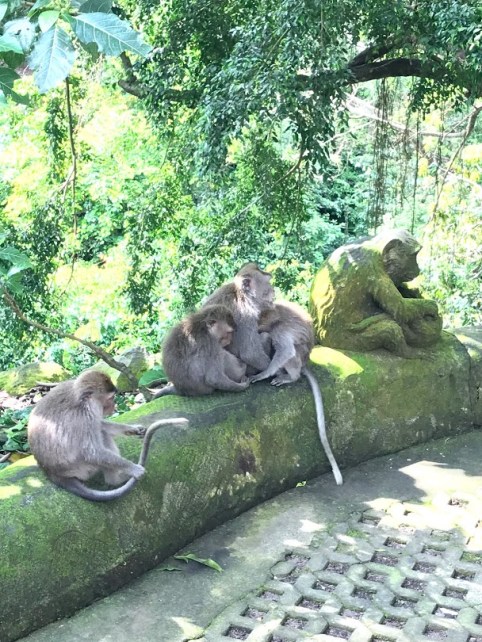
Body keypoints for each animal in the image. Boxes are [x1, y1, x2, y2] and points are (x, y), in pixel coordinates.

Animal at [27, 370, 188, 501]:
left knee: (102, 432)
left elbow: (100, 424)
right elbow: (91, 452)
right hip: (82, 469)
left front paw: (133, 429)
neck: (82, 399)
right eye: (111, 398)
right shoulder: (84, 417)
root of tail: (51, 472)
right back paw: (116, 479)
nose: (115, 404)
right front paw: (133, 468)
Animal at [250, 301, 343, 486]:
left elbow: (286, 351)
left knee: (291, 353)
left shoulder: (279, 331)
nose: (256, 330)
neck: (275, 317)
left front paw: (263, 374)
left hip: (298, 358)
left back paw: (290, 377)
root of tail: (306, 362)